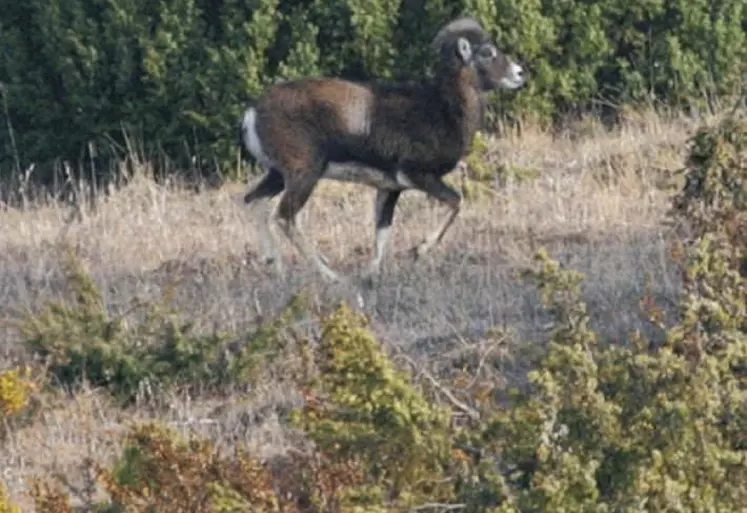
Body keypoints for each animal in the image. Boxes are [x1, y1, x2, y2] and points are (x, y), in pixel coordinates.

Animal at [240, 16, 524, 286]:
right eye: (487, 52)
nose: (520, 73)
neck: (443, 110)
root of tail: (252, 113)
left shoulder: (389, 189)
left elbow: (382, 232)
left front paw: (371, 278)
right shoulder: (419, 177)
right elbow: (456, 201)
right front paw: (419, 250)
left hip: (278, 175)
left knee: (254, 202)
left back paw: (277, 270)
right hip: (305, 175)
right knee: (285, 217)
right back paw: (333, 278)